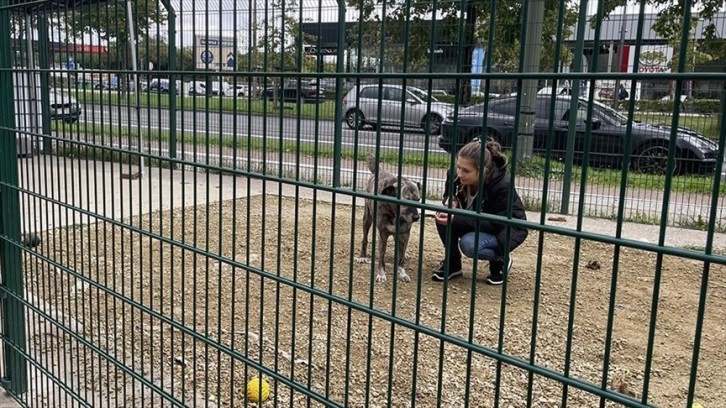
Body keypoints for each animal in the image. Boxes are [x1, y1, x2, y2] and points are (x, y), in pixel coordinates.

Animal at [356, 154, 424, 284]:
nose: (417, 217)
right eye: (406, 200)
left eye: (418, 200)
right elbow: (381, 258)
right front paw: (381, 274)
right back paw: (363, 256)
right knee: (365, 239)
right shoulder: (383, 235)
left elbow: (401, 258)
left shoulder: (405, 234)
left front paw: (402, 272)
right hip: (367, 220)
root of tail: (380, 170)